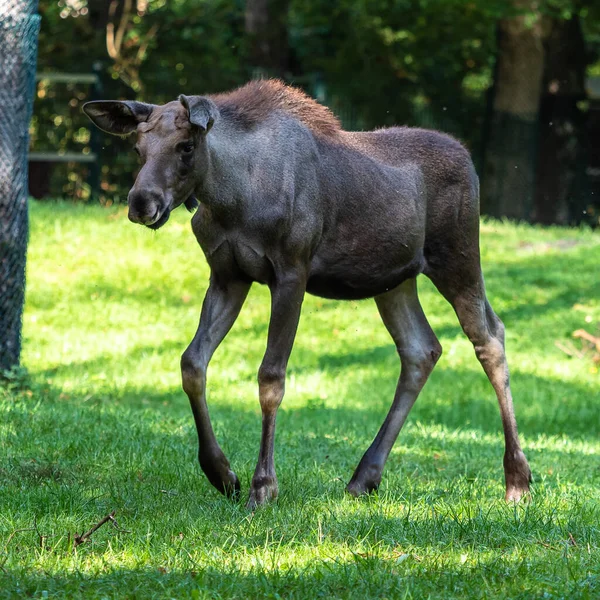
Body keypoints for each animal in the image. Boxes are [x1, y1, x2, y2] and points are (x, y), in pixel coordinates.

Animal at [83, 79, 528, 508]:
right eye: (138, 148)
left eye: (186, 146)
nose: (142, 203)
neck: (231, 199)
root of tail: (469, 161)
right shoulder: (227, 275)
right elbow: (192, 363)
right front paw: (222, 474)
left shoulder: (291, 272)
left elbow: (271, 378)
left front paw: (263, 486)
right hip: (394, 280)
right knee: (422, 349)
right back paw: (364, 477)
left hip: (457, 258)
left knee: (490, 336)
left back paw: (517, 479)